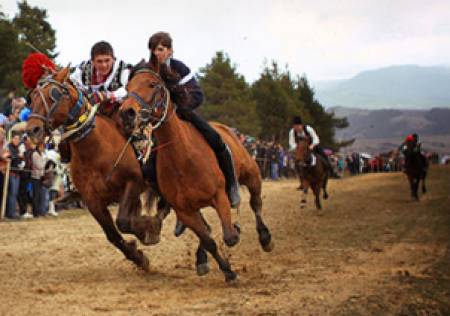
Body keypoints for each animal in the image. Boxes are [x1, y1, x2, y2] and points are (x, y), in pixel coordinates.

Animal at [24, 67, 162, 272]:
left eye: (53, 95)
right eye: (32, 97)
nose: (32, 130)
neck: (96, 149)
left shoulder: (133, 182)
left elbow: (123, 221)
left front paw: (147, 231)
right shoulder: (92, 201)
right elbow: (113, 233)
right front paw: (138, 255)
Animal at [119, 61, 272, 282]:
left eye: (152, 84)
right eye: (128, 87)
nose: (127, 112)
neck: (182, 159)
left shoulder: (219, 196)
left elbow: (229, 236)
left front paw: (236, 233)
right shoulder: (185, 211)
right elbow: (209, 239)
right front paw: (227, 271)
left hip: (251, 175)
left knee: (256, 203)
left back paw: (265, 237)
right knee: (207, 229)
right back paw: (201, 258)